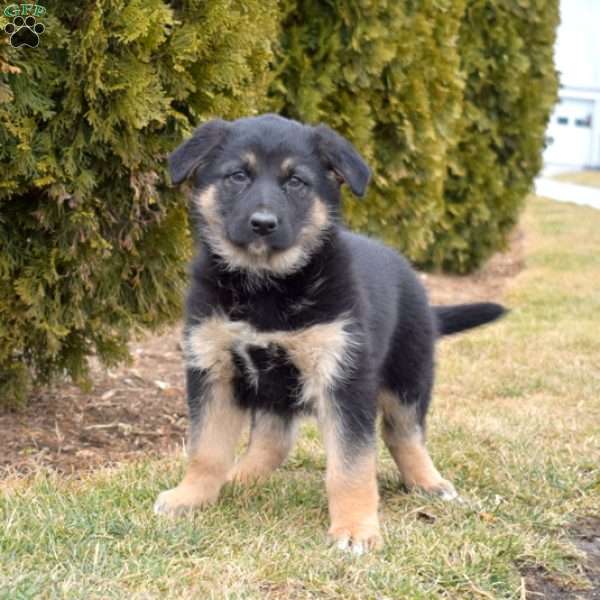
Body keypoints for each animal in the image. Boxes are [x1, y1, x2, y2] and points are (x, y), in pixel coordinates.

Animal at [155, 112, 506, 552]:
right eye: (237, 176)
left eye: (296, 182)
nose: (263, 224)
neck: (266, 287)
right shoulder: (213, 368)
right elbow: (206, 449)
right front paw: (191, 497)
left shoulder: (343, 376)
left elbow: (351, 465)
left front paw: (355, 528)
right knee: (274, 440)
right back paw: (239, 478)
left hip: (408, 375)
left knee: (405, 434)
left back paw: (428, 482)